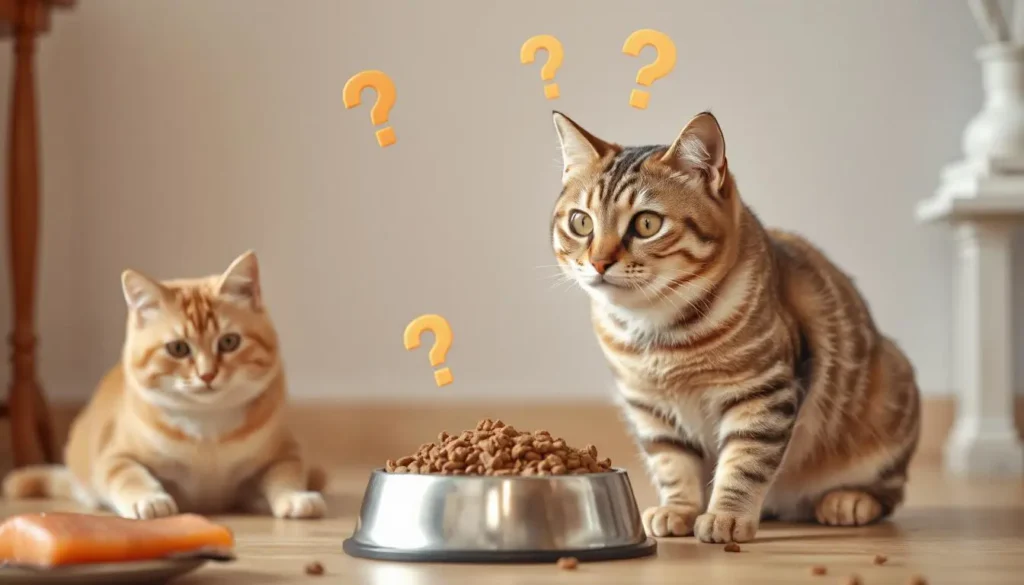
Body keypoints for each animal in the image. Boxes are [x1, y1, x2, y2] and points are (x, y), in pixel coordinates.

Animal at [2, 249, 325, 520]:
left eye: (229, 342)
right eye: (178, 348)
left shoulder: (284, 451)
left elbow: (286, 473)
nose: (207, 374)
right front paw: (149, 499)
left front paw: (295, 497)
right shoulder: (114, 455)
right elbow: (128, 474)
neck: (208, 429)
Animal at [548, 111, 925, 545]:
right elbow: (672, 463)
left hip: (890, 396)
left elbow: (745, 462)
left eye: (646, 224)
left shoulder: (762, 392)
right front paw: (679, 510)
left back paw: (848, 501)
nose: (597, 262)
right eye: (581, 222)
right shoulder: (649, 407)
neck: (657, 336)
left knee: (889, 492)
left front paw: (725, 516)